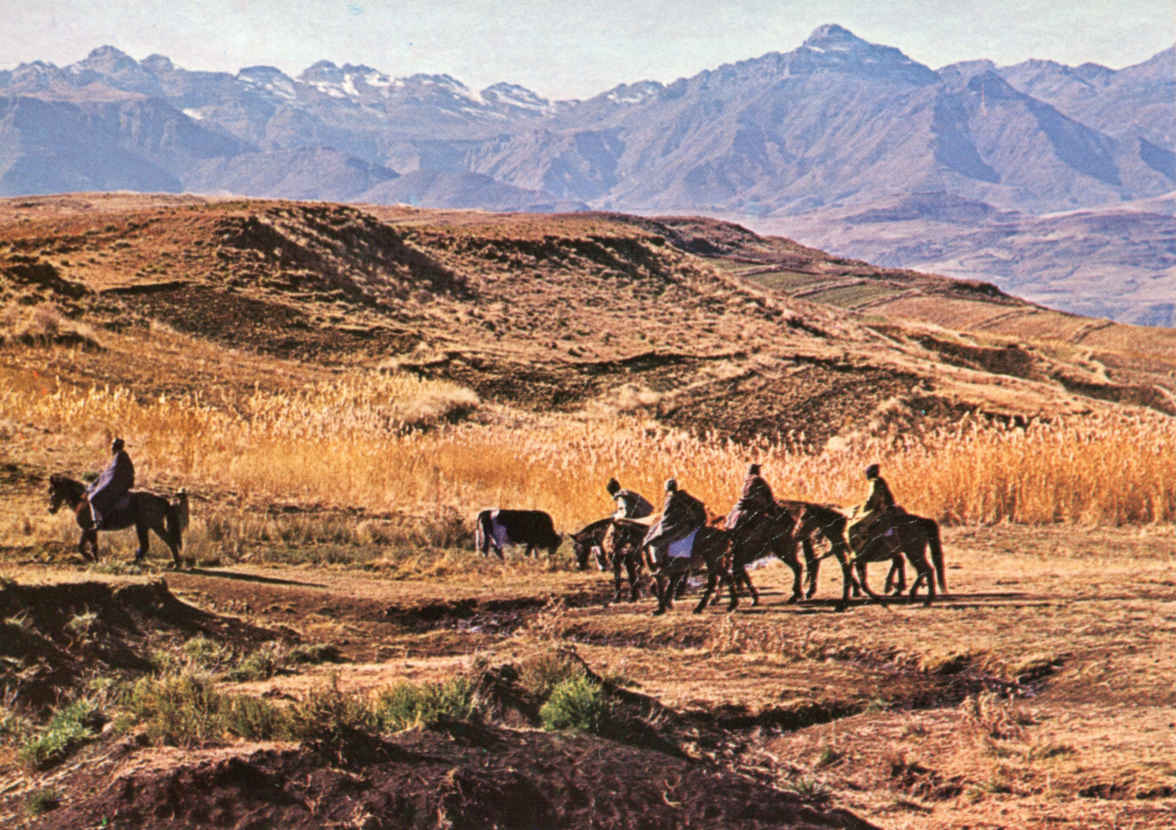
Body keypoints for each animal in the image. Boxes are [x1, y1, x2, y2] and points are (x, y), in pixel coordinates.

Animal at [47, 474, 186, 566]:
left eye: (53, 492)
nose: (50, 509)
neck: (83, 500)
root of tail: (162, 499)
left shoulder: (87, 529)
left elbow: (81, 547)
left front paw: (91, 559)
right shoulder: (92, 530)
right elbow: (94, 547)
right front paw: (96, 560)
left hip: (155, 525)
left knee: (170, 541)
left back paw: (176, 564)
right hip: (142, 526)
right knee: (145, 545)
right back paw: (133, 562)